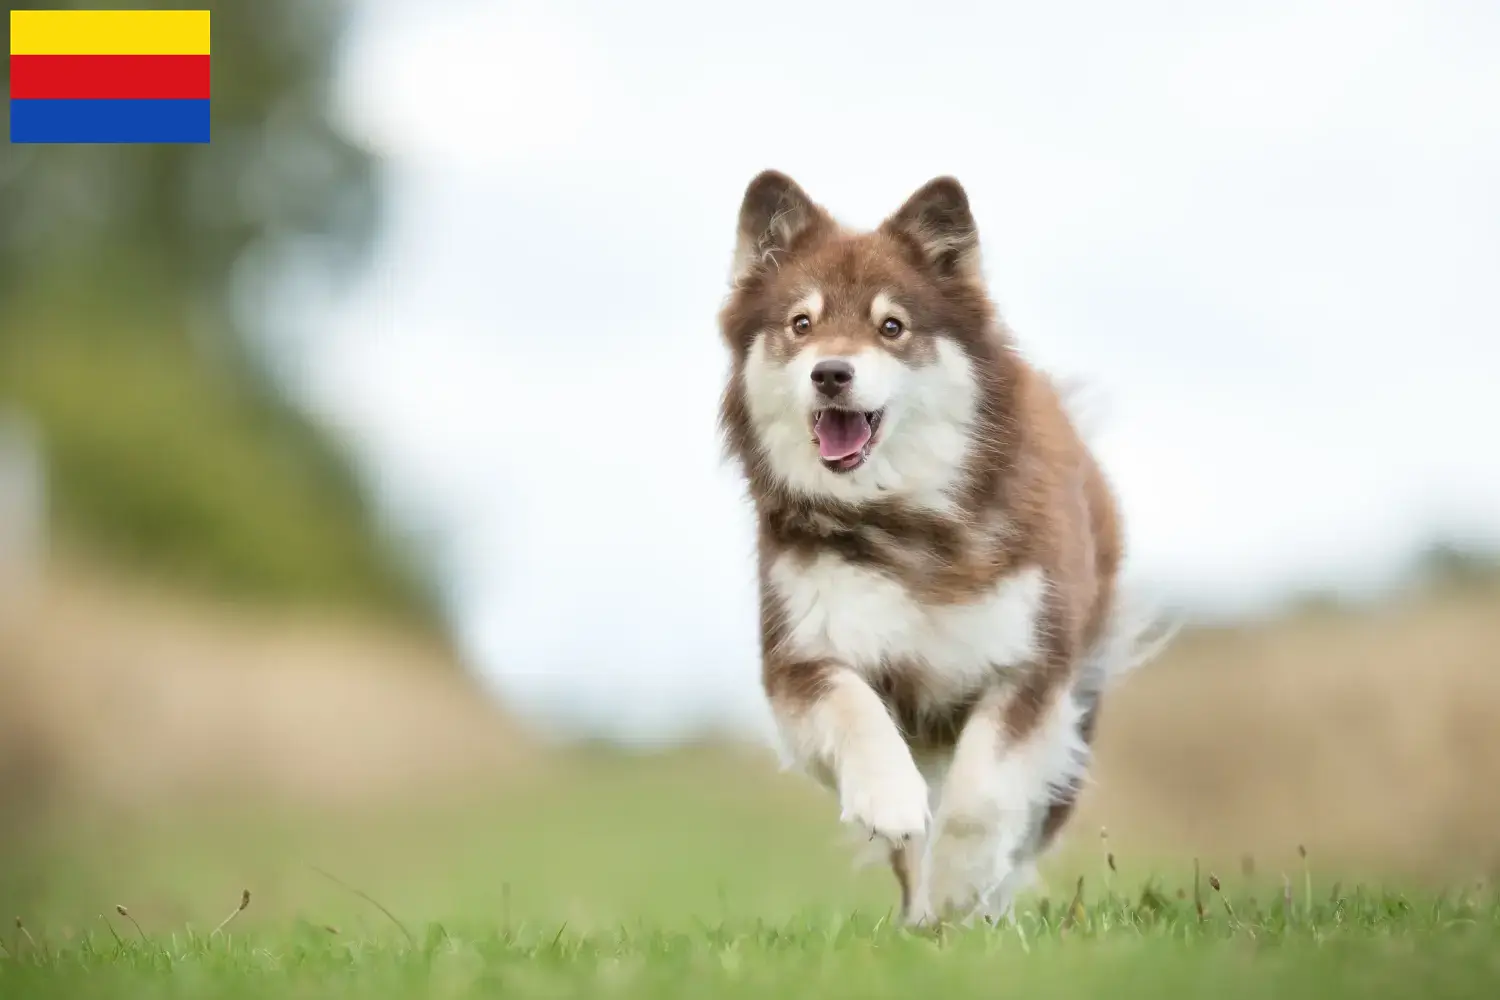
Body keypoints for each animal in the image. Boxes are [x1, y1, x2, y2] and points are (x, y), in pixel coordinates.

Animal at [717, 167, 1170, 929]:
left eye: (891, 326)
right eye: (801, 324)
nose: (830, 372)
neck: (906, 521)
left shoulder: (1028, 669)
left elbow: (983, 796)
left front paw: (962, 888)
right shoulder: (803, 657)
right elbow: (857, 715)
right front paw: (889, 799)